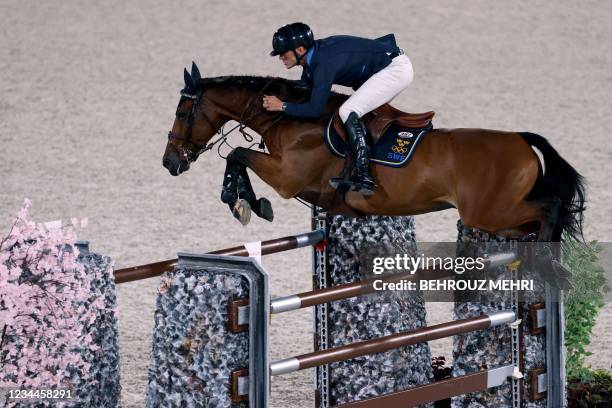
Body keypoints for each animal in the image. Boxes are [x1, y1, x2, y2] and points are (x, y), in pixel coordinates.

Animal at [161, 63, 584, 242]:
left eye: (182, 112)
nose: (169, 162)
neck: (292, 119)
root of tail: (521, 140)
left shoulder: (286, 177)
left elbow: (238, 156)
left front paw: (245, 203)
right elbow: (238, 158)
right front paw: (244, 202)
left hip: (487, 212)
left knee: (549, 208)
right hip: (498, 218)